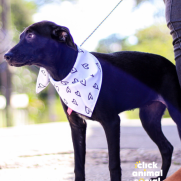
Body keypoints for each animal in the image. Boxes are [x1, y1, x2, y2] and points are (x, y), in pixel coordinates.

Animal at [3, 20, 181, 180]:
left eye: (31, 36)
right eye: (20, 37)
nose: (6, 56)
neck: (69, 69)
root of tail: (170, 64)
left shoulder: (112, 122)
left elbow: (113, 164)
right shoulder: (76, 125)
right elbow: (78, 165)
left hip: (175, 112)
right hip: (148, 118)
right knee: (167, 148)